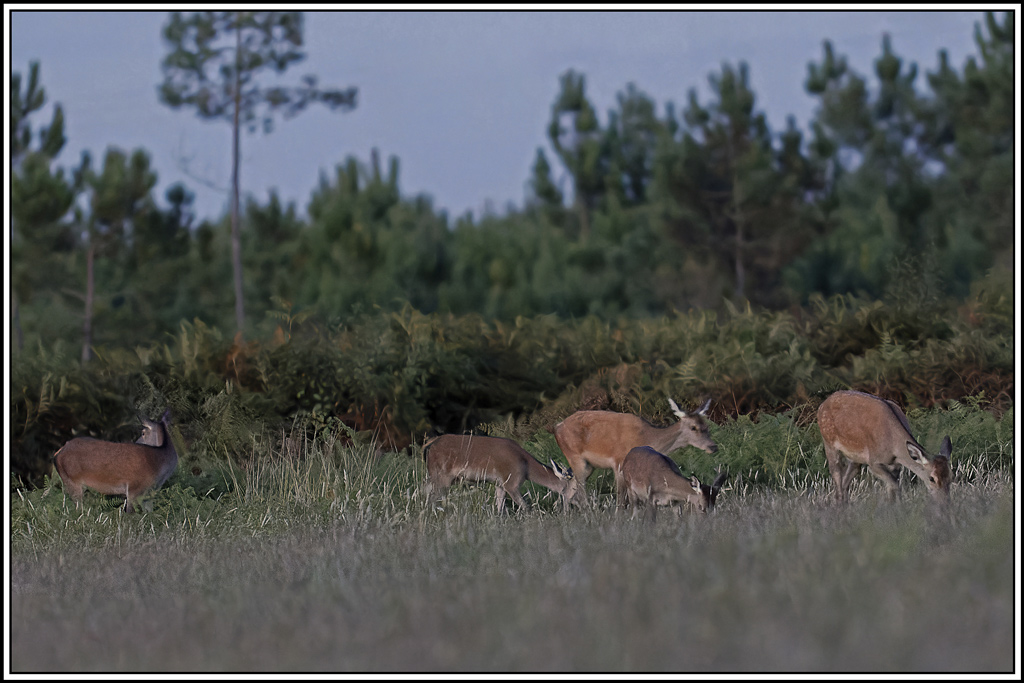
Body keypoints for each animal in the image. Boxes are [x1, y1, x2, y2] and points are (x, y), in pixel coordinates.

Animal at [422, 434, 583, 513]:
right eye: (576, 488)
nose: (585, 504)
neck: (526, 468)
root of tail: (430, 445)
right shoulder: (512, 482)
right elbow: (527, 508)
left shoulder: (500, 484)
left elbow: (499, 509)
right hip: (441, 476)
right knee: (430, 500)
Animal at [551, 397, 718, 499]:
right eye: (693, 427)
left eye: (707, 426)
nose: (713, 446)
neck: (648, 438)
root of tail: (556, 428)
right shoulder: (619, 462)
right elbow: (621, 498)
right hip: (575, 456)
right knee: (580, 492)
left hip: (588, 466)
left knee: (569, 491)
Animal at [817, 390, 952, 504]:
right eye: (932, 478)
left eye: (950, 476)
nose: (945, 502)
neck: (894, 448)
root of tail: (822, 405)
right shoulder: (874, 462)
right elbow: (896, 485)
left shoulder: (895, 465)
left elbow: (891, 488)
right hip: (828, 442)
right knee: (837, 478)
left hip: (855, 458)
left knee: (845, 484)